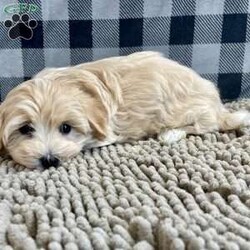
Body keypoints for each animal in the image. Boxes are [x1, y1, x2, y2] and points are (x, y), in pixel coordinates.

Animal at [0, 51, 250, 169]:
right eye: (25, 129)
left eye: (65, 128)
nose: (49, 160)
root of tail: (217, 105)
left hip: (189, 111)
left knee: (204, 126)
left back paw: (170, 133)